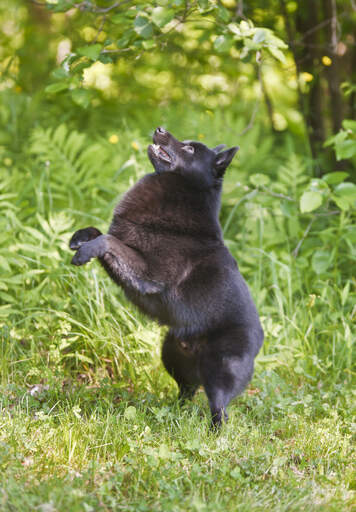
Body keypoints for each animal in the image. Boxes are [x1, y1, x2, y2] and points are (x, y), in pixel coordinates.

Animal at [70, 128, 264, 428]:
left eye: (191, 149)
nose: (160, 129)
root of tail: (260, 342)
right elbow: (100, 232)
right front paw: (79, 238)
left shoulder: (150, 274)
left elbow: (109, 240)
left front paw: (85, 251)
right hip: (171, 353)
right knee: (187, 391)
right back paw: (172, 413)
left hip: (221, 370)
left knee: (219, 408)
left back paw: (213, 433)